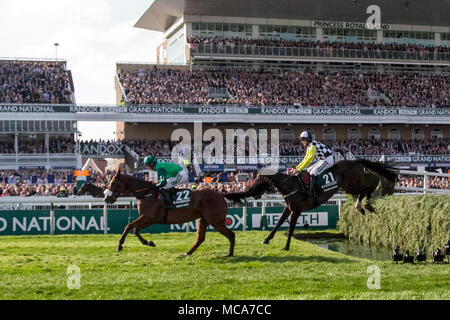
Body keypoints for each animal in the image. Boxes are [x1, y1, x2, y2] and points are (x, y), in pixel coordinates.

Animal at [103, 169, 234, 256]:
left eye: (113, 183)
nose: (106, 198)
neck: (146, 193)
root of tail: (221, 194)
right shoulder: (151, 219)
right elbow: (136, 229)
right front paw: (149, 242)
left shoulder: (148, 216)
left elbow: (129, 226)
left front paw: (120, 245)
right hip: (203, 220)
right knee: (200, 238)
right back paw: (187, 253)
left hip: (216, 221)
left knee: (231, 234)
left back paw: (230, 254)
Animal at [223, 159, 396, 251]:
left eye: (259, 179)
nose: (251, 189)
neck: (290, 185)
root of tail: (355, 161)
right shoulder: (289, 208)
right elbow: (279, 223)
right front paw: (266, 239)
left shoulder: (297, 210)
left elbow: (291, 228)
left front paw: (286, 246)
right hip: (351, 186)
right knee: (365, 190)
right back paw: (361, 206)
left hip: (352, 185)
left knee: (368, 188)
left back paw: (365, 205)